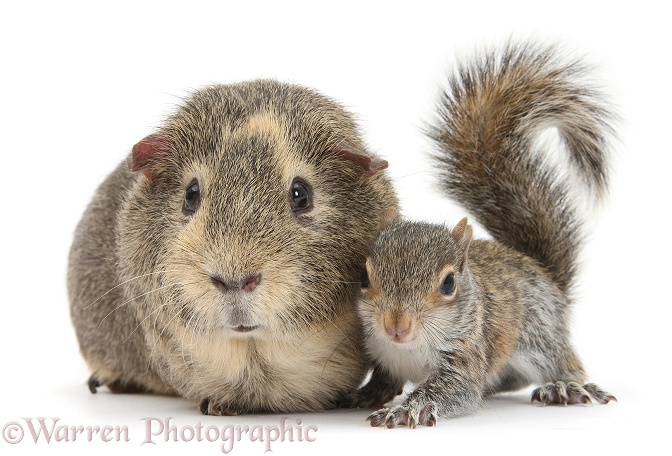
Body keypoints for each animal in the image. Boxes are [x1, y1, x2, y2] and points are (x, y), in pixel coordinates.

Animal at [354, 41, 616, 428]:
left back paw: (565, 386)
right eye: (364, 277)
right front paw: (366, 395)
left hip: (540, 334)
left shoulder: (467, 354)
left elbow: (456, 389)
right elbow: (386, 379)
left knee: (566, 363)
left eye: (449, 283)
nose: (396, 326)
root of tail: (546, 276)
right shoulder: (381, 353)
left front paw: (406, 409)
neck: (408, 349)